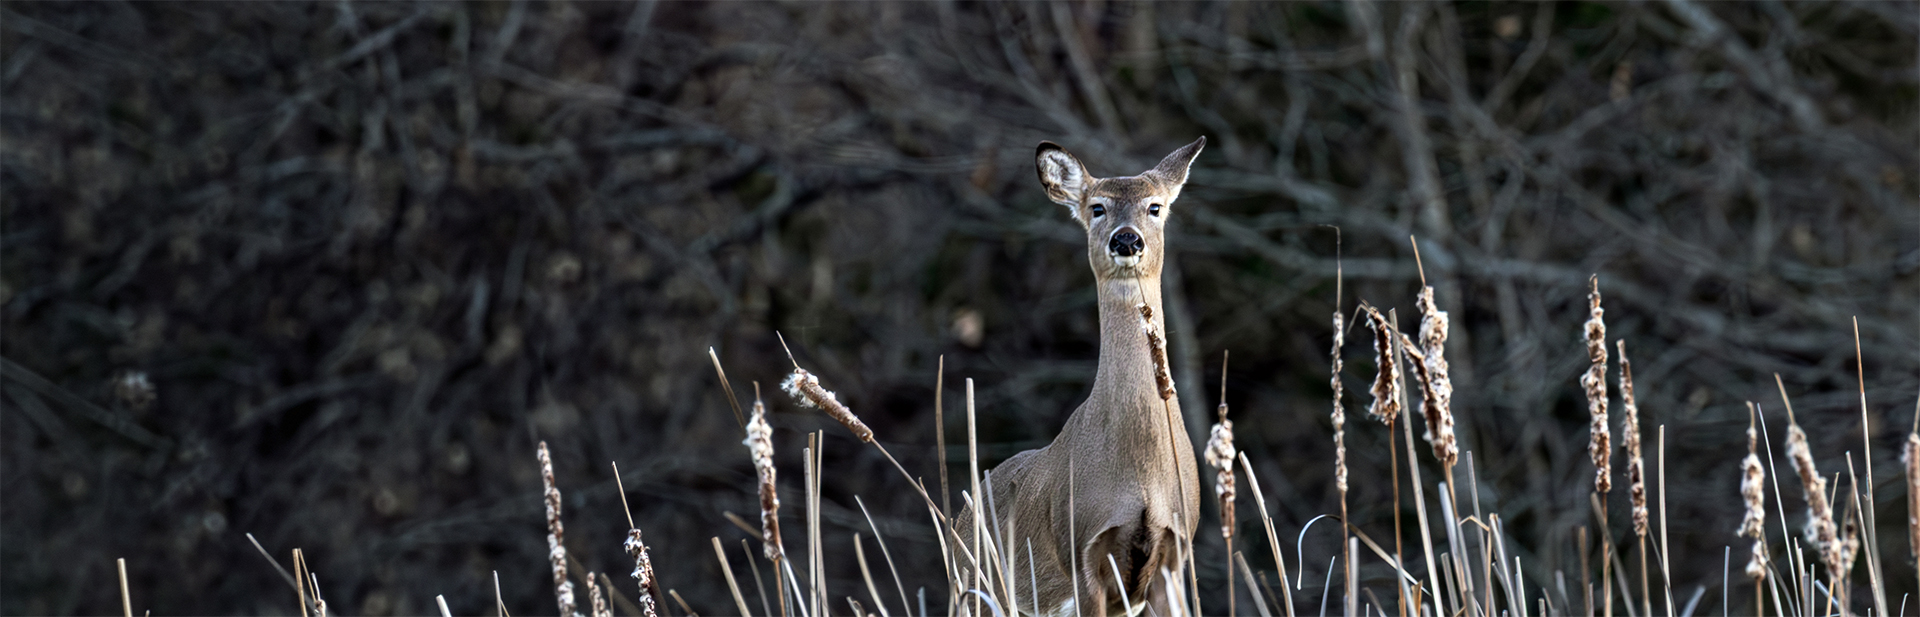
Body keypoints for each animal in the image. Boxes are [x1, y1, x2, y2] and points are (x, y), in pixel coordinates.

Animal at [955, 137, 1206, 617]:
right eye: (1097, 207)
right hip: (976, 587)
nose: (1126, 239)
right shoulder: (1083, 552)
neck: (1139, 472)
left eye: (1155, 207)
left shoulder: (1174, 552)